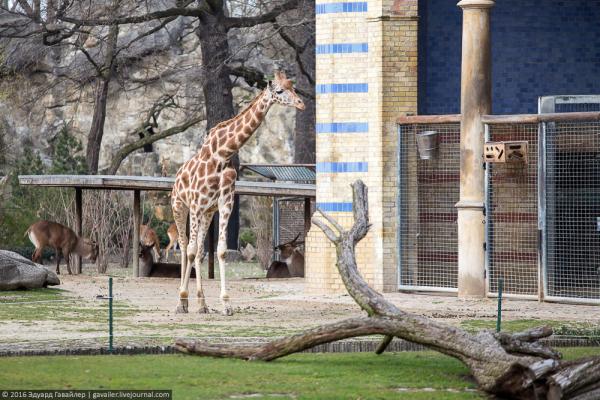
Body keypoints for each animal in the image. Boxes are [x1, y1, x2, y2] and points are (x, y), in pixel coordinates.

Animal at [172, 72, 304, 316]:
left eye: (293, 87)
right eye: (279, 90)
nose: (301, 103)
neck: (222, 154)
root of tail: (176, 176)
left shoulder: (224, 203)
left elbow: (221, 250)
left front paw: (226, 304)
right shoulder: (195, 204)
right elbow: (191, 250)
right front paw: (182, 300)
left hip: (207, 213)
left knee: (200, 250)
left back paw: (202, 303)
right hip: (180, 206)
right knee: (186, 247)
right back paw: (182, 300)